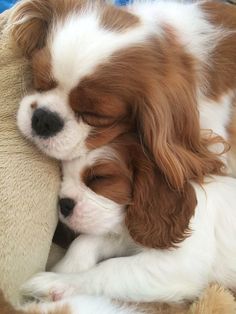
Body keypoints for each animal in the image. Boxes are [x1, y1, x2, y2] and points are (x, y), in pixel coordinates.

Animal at [20, 134, 236, 302]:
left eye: (99, 179)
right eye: (63, 175)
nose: (63, 204)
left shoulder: (180, 262)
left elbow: (110, 268)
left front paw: (57, 282)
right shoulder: (127, 235)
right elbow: (84, 242)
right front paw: (65, 268)